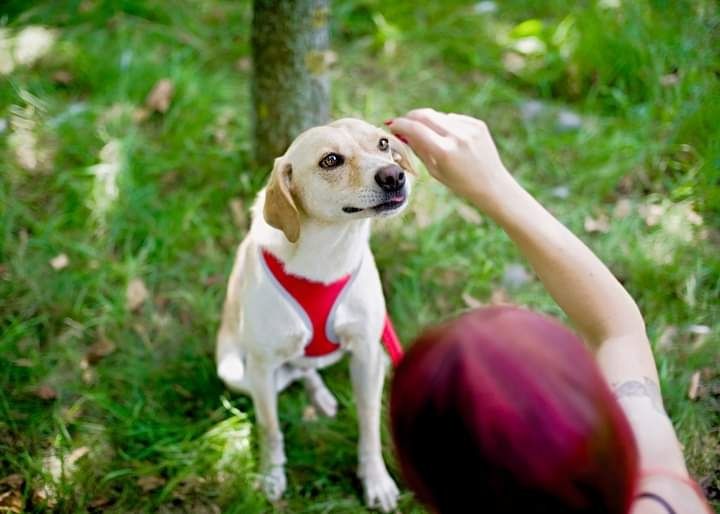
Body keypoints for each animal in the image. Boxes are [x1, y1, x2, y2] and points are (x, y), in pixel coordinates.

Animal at [217, 119, 414, 508]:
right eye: (331, 160)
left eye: (383, 143)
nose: (394, 176)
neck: (327, 254)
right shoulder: (262, 366)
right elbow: (270, 428)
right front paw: (271, 474)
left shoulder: (368, 356)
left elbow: (369, 424)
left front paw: (375, 479)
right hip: (233, 369)